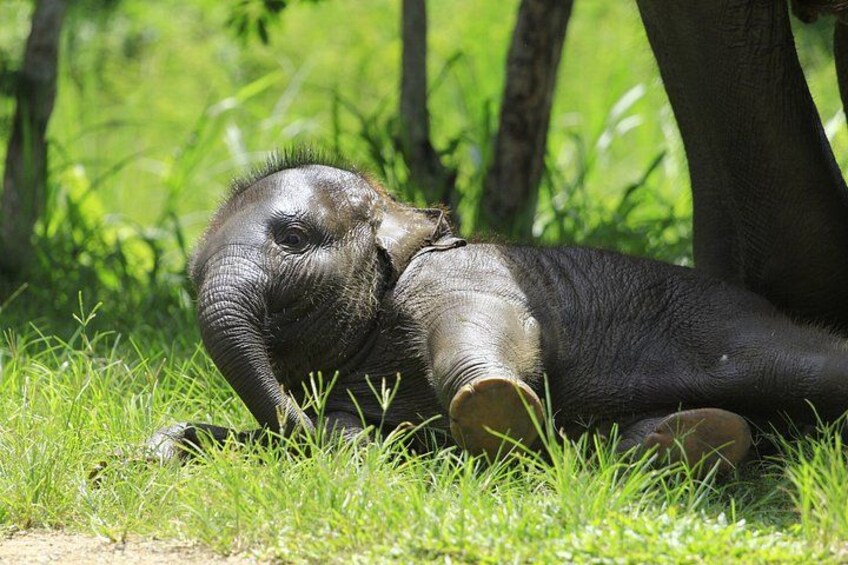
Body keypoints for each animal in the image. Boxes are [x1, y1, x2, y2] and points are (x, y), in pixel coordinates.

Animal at [148, 152, 848, 472]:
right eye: (191, 277)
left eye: (293, 238)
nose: (298, 433)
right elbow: (338, 425)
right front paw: (166, 447)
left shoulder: (468, 280)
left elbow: (494, 336)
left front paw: (492, 407)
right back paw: (691, 441)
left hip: (726, 329)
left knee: (800, 366)